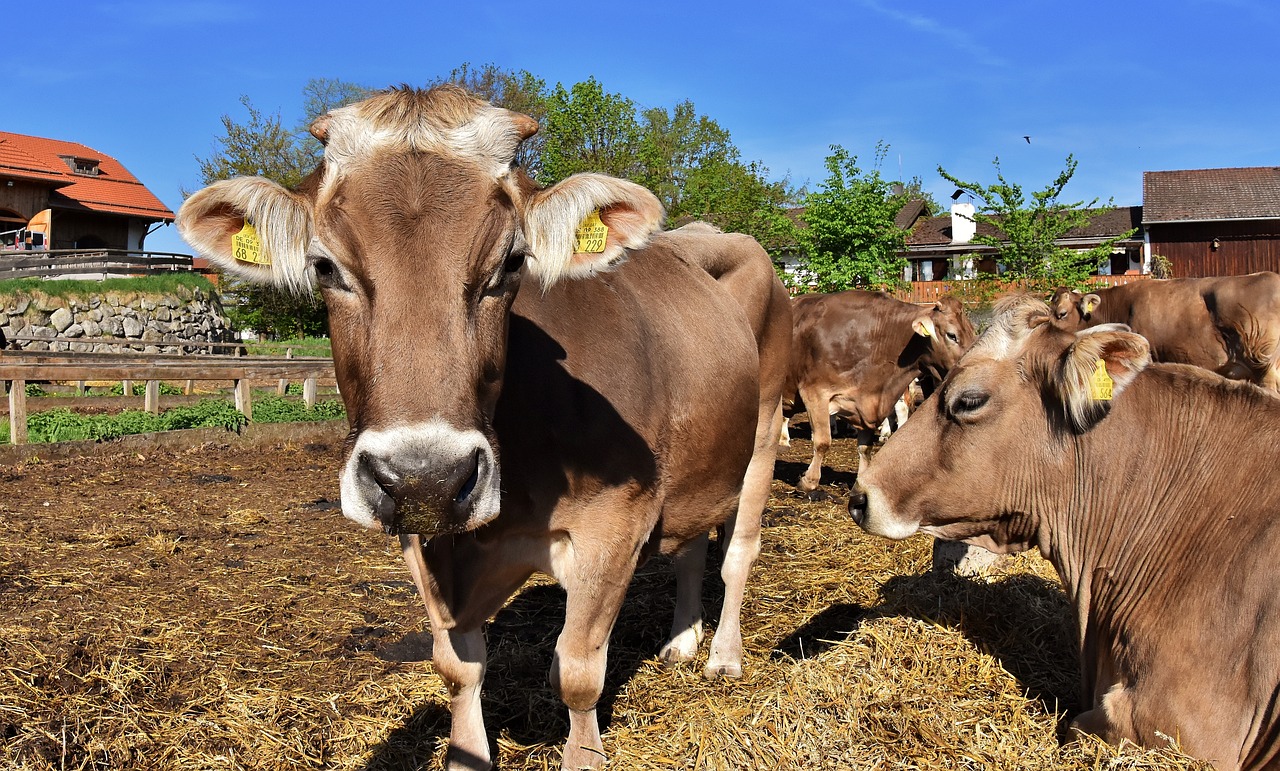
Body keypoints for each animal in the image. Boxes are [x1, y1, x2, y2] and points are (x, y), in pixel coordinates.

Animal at [174, 85, 783, 768]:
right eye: (325, 267)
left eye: (512, 262)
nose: (426, 476)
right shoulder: (424, 533)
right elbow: (459, 666)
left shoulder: (617, 520)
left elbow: (579, 672)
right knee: (692, 542)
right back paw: (682, 640)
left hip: (765, 430)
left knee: (737, 551)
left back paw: (724, 656)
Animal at [783, 290, 972, 489]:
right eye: (952, 335)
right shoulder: (815, 393)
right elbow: (822, 442)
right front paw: (809, 480)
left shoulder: (866, 403)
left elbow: (865, 447)